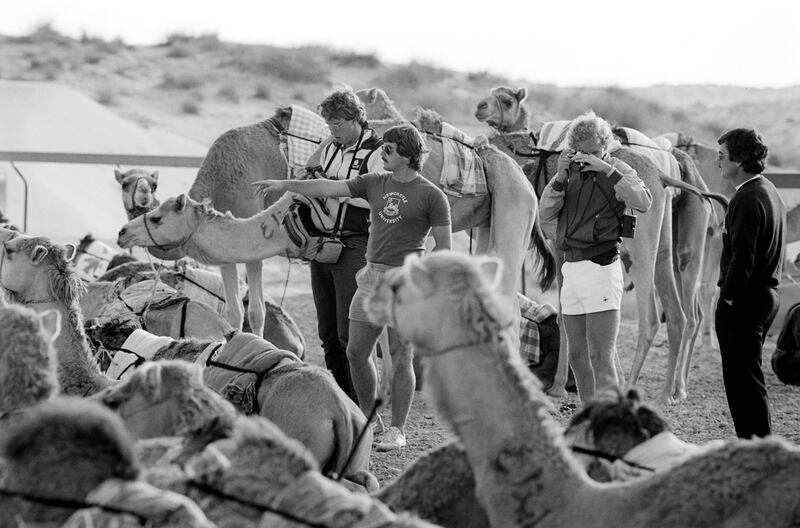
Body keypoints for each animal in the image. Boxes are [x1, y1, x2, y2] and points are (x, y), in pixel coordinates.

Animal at [476, 84, 732, 402]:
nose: (480, 107)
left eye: (507, 100)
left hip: (641, 248)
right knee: (682, 314)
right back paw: (671, 392)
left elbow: (564, 315)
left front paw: (559, 387)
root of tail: (663, 175)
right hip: (673, 247)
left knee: (652, 318)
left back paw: (636, 387)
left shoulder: (559, 245)